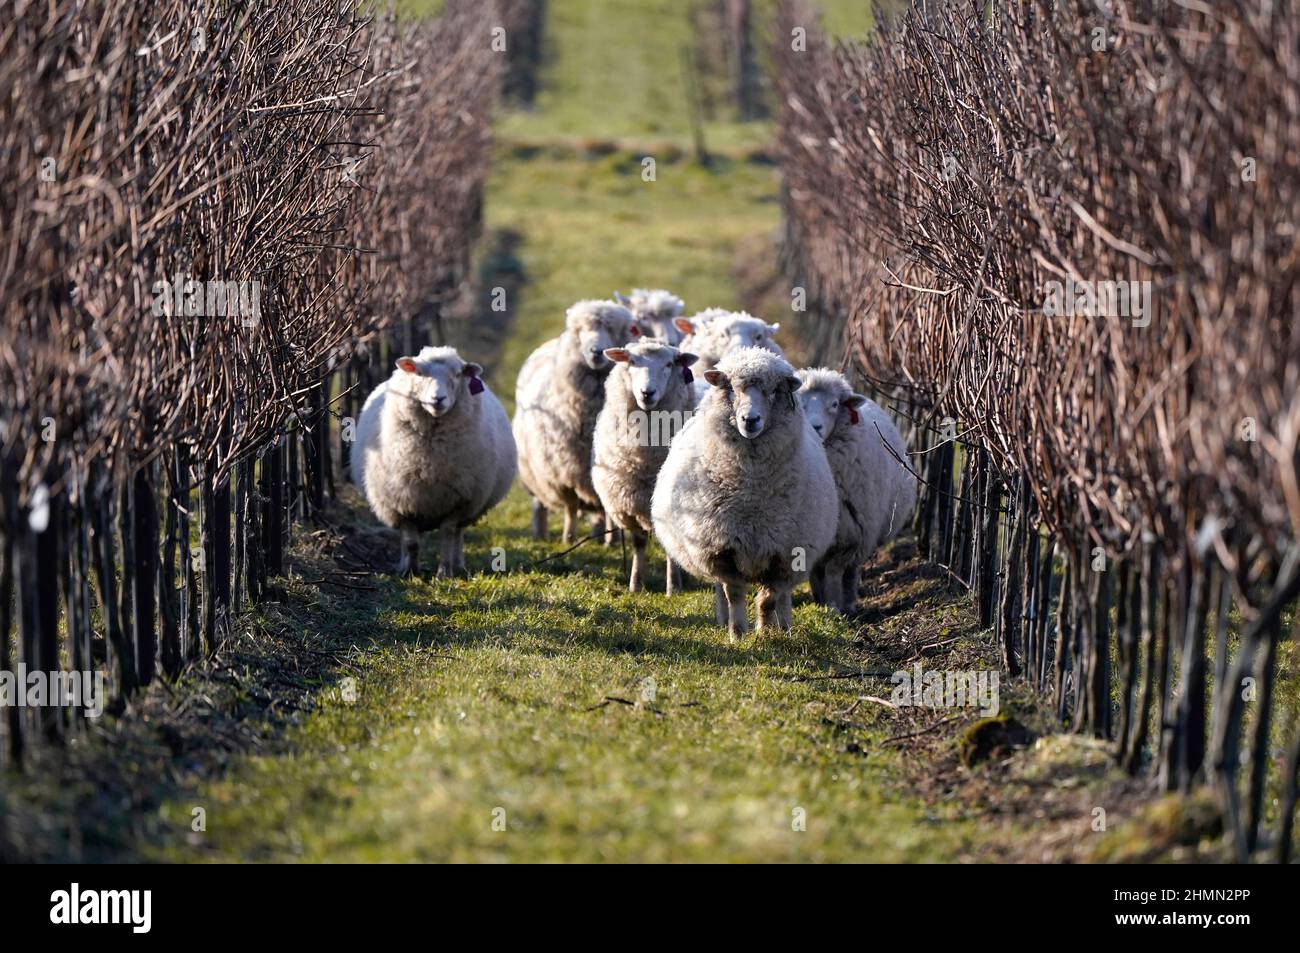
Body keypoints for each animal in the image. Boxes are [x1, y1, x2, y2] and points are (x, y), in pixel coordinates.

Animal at [356, 345, 522, 577]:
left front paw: (444, 572)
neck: (429, 461)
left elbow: (448, 536)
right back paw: (403, 565)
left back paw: (458, 566)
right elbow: (411, 542)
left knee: (458, 536)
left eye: (457, 375)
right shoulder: (400, 502)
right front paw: (410, 572)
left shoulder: (459, 500)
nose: (438, 399)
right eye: (419, 373)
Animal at [595, 338, 702, 590]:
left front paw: (673, 587)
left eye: (669, 364)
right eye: (632, 361)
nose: (647, 392)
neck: (643, 459)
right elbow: (638, 542)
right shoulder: (629, 501)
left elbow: (670, 549)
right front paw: (635, 583)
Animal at [647, 343, 832, 639]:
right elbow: (732, 593)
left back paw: (785, 628)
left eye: (773, 391)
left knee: (784, 596)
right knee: (720, 591)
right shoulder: (721, 549)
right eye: (731, 389)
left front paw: (765, 634)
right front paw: (737, 634)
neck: (751, 494)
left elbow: (769, 599)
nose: (750, 420)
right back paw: (725, 621)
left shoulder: (782, 552)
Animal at [795, 369, 920, 613]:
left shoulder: (852, 534)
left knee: (851, 570)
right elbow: (815, 570)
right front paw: (821, 602)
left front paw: (834, 606)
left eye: (834, 404)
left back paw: (850, 602)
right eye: (799, 402)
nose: (815, 427)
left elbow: (835, 571)